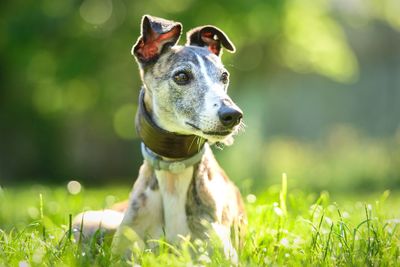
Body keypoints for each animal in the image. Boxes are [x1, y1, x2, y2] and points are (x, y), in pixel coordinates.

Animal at [73, 14, 245, 262]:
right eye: (182, 76)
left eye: (224, 76)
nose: (233, 115)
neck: (174, 171)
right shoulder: (122, 254)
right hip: (90, 223)